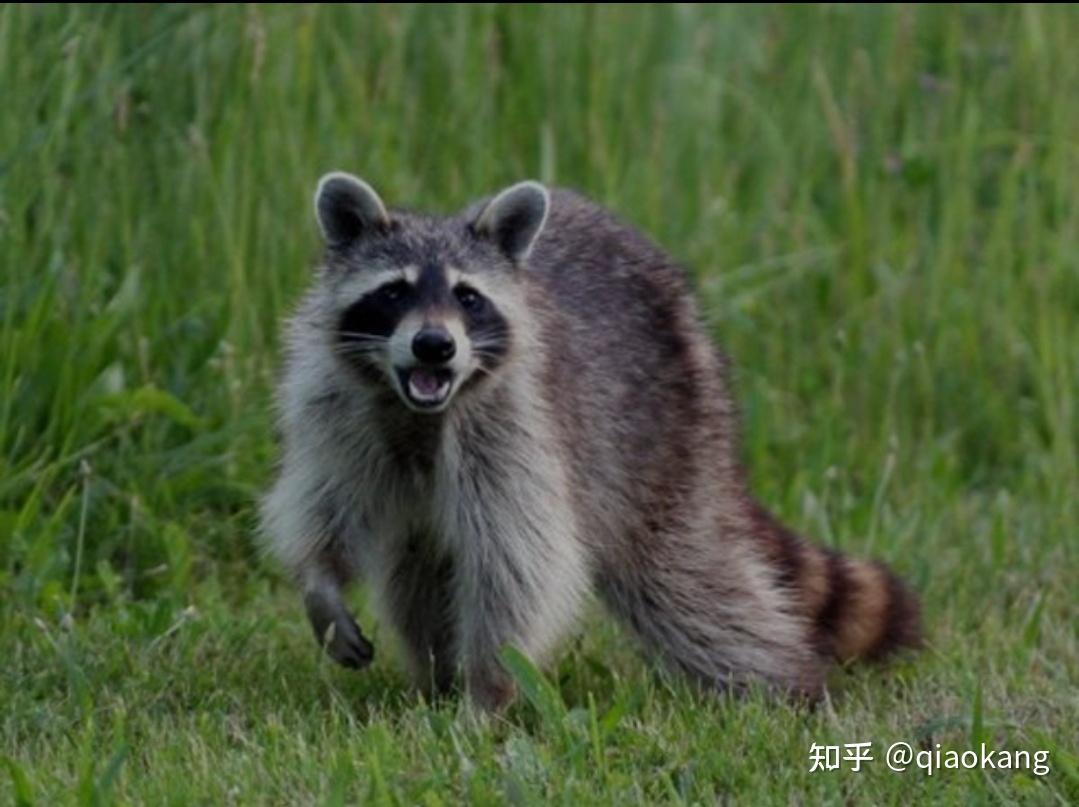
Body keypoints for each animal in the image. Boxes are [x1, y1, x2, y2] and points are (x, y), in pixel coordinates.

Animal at [258, 173, 919, 707]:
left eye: (469, 298)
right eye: (393, 291)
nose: (434, 346)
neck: (418, 411)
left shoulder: (517, 429)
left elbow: (521, 564)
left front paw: (488, 692)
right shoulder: (336, 409)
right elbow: (323, 503)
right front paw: (321, 586)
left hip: (662, 442)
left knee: (691, 591)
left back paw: (782, 683)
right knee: (417, 575)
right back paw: (435, 679)